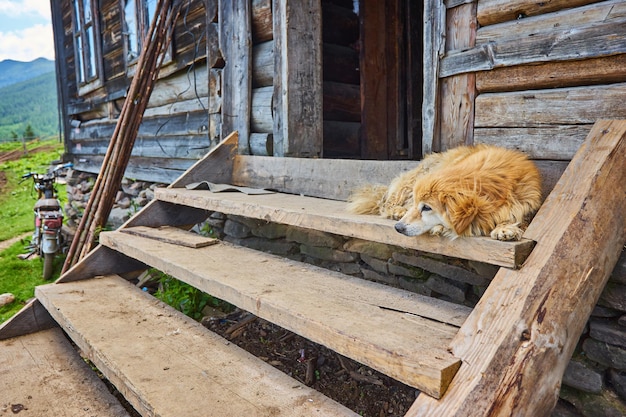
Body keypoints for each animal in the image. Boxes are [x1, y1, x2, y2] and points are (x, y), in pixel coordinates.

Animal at [346, 144, 540, 239]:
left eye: (427, 208)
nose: (398, 228)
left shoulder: (526, 202)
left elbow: (522, 217)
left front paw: (506, 227)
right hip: (412, 181)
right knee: (386, 204)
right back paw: (397, 211)